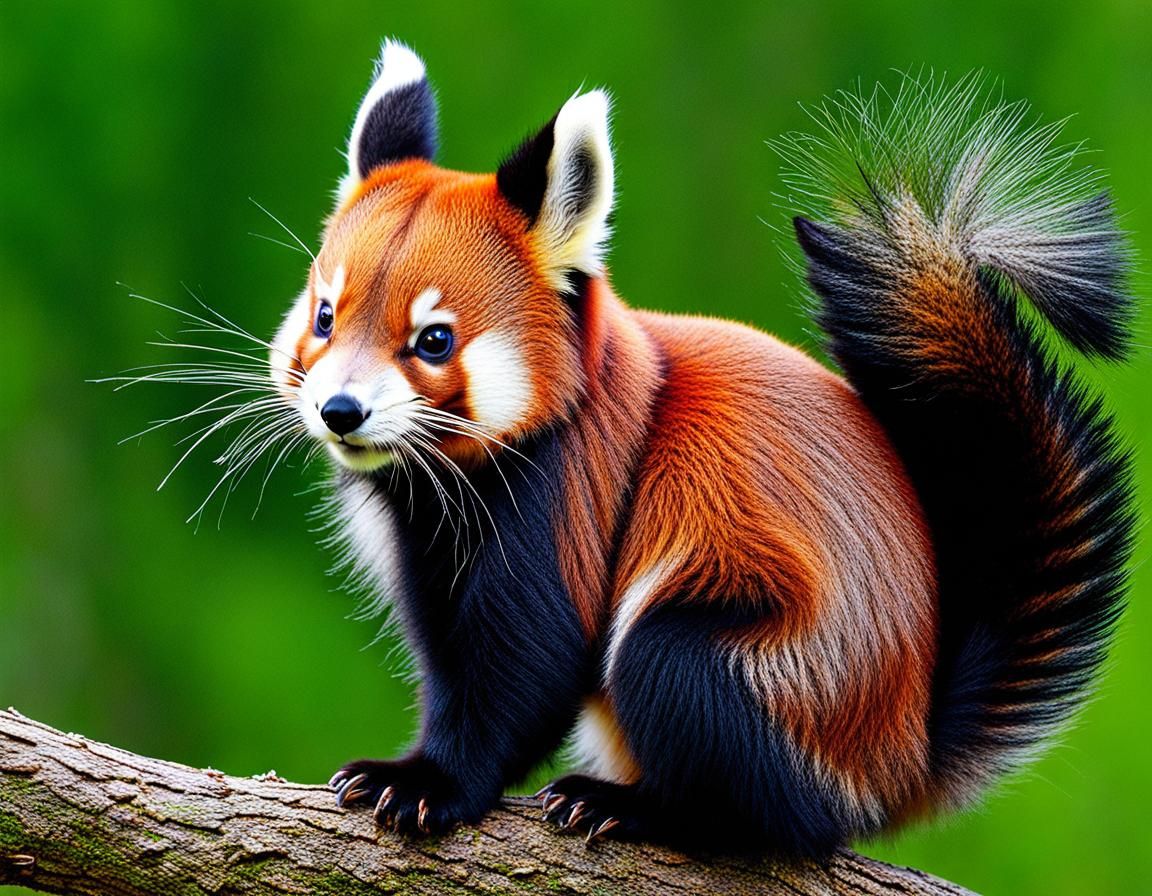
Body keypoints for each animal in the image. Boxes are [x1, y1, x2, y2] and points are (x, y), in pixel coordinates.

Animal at [268, 42, 1135, 856]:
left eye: (433, 340)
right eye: (324, 318)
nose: (340, 411)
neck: (429, 487)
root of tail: (905, 751)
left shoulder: (563, 494)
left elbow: (526, 666)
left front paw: (428, 782)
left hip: (787, 670)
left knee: (675, 674)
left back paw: (647, 808)